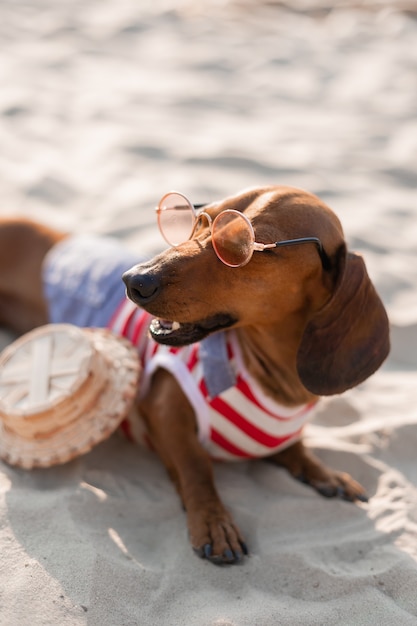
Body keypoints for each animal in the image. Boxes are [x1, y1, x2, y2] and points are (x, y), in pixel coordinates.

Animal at [0, 184, 390, 560]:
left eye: (243, 246)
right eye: (201, 221)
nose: (134, 280)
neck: (273, 376)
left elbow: (294, 448)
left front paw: (324, 472)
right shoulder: (162, 409)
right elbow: (196, 466)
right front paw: (213, 521)